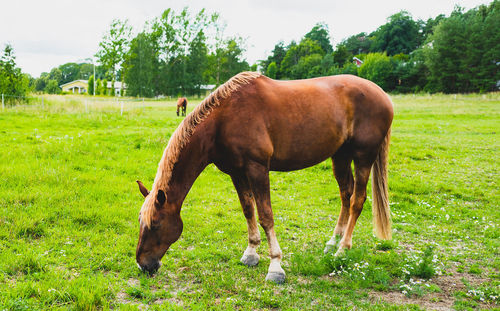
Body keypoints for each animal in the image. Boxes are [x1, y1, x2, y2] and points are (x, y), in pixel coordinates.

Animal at [135, 72, 392, 284]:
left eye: (155, 224)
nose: (143, 264)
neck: (224, 120)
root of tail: (383, 95)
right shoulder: (237, 172)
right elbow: (248, 210)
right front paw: (250, 253)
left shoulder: (257, 169)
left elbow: (266, 216)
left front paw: (275, 266)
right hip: (340, 156)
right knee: (346, 195)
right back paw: (332, 243)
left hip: (363, 157)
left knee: (357, 200)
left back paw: (343, 249)